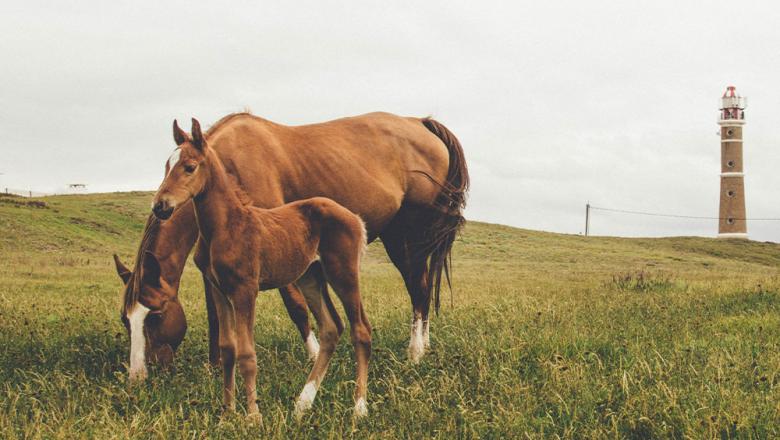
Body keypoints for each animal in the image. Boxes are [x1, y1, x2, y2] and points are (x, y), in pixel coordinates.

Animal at [116, 111, 470, 378]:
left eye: (155, 316)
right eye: (125, 319)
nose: (137, 374)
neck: (229, 165)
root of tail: (420, 123)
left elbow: (296, 306)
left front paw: (314, 356)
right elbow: (216, 314)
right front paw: (216, 364)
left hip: (407, 236)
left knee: (419, 288)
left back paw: (415, 352)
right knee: (423, 288)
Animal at [152, 118, 372, 418]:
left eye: (189, 166)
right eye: (166, 165)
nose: (160, 206)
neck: (225, 227)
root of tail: (355, 218)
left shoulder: (246, 290)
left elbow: (247, 353)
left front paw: (253, 416)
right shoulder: (220, 290)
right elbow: (228, 348)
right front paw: (227, 413)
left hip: (343, 273)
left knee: (360, 329)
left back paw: (359, 408)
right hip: (310, 277)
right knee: (331, 328)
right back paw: (302, 404)